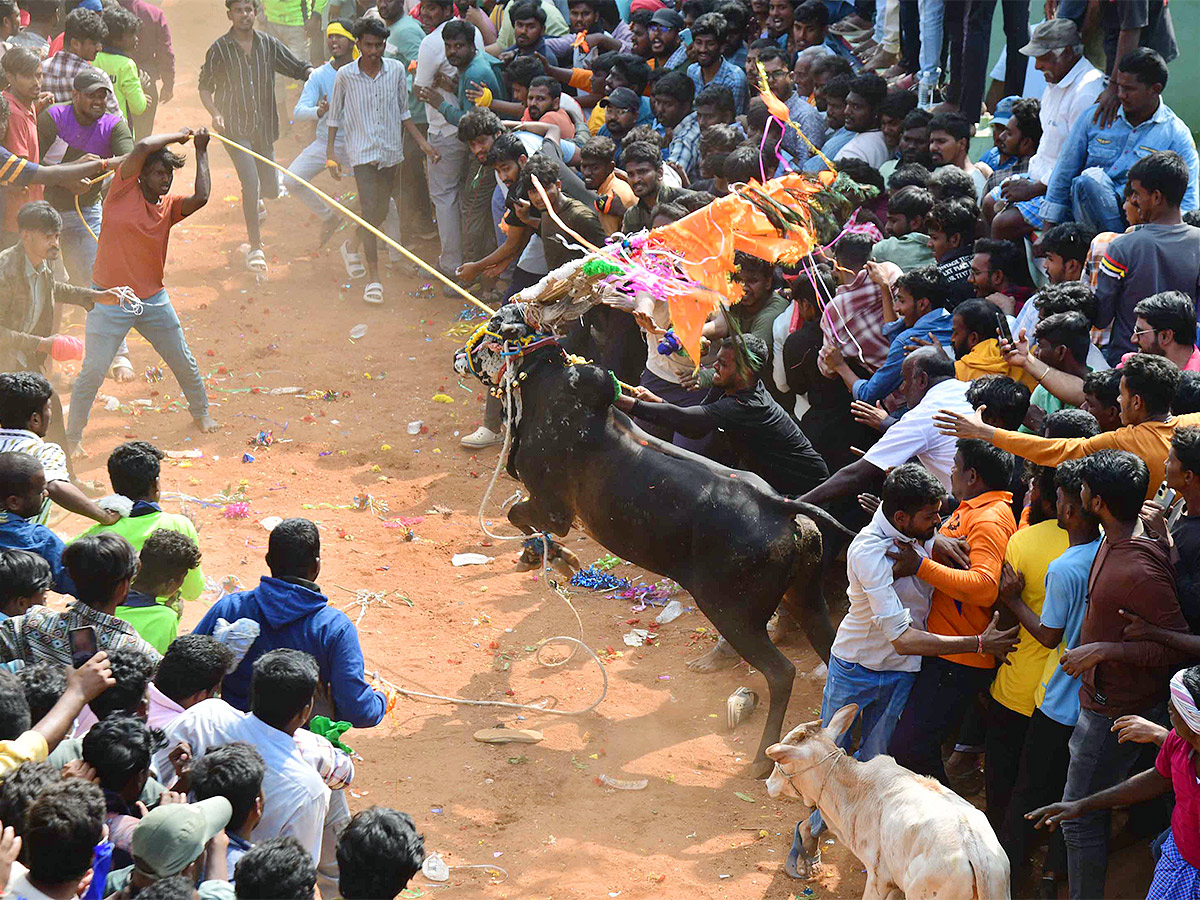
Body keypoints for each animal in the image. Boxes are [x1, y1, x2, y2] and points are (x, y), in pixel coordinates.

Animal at [453, 309, 849, 777]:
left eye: (494, 326)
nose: (458, 355)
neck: (545, 387)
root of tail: (781, 506)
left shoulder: (552, 509)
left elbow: (517, 515)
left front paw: (554, 558)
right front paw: (549, 558)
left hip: (731, 611)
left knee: (782, 672)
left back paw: (761, 758)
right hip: (803, 598)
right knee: (831, 652)